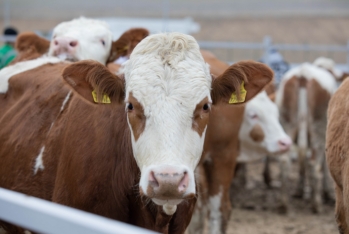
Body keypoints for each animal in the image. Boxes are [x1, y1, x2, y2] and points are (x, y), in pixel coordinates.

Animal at [274, 62, 338, 214]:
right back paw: (316, 204)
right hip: (318, 129)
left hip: (287, 124)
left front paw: (299, 190)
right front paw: (326, 193)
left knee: (285, 160)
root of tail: (304, 73)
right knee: (314, 164)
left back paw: (283, 204)